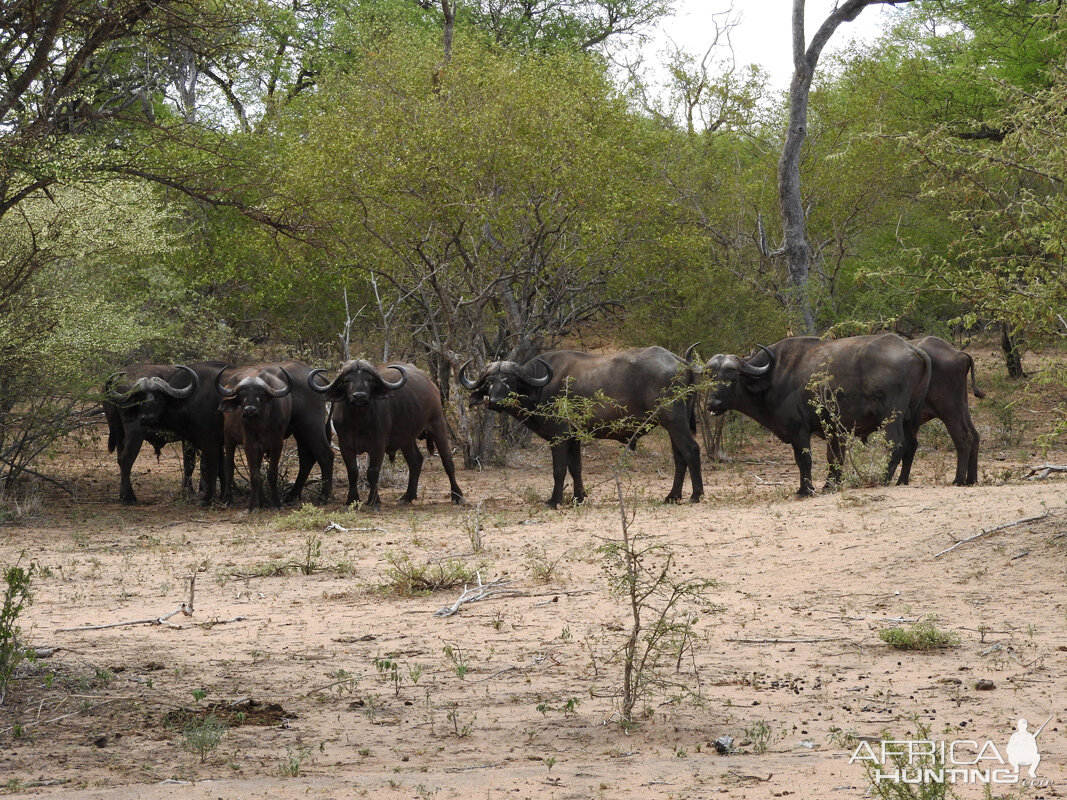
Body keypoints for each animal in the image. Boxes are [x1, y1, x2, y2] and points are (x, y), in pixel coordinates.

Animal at [102, 362, 228, 507]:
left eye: (158, 397)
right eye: (140, 399)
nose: (147, 418)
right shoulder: (195, 439)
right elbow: (192, 464)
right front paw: (191, 490)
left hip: (118, 432)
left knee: (120, 459)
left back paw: (123, 494)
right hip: (134, 433)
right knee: (127, 458)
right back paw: (128, 497)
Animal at [305, 362, 463, 509]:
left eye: (369, 380)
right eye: (347, 380)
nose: (359, 396)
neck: (358, 422)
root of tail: (431, 384)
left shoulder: (378, 445)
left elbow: (373, 471)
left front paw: (374, 501)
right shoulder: (345, 445)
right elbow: (352, 472)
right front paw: (352, 501)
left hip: (437, 424)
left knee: (447, 460)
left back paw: (457, 496)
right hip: (406, 438)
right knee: (415, 461)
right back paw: (407, 496)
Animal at [456, 347, 699, 509]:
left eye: (509, 381)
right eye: (489, 382)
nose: (495, 401)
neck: (541, 387)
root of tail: (681, 362)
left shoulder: (560, 436)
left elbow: (559, 469)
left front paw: (554, 500)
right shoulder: (574, 437)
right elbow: (576, 467)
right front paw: (578, 498)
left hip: (674, 421)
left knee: (692, 450)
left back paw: (696, 495)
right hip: (673, 425)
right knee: (679, 457)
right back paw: (673, 496)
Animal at [704, 334, 930, 499]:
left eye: (731, 379)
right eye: (711, 378)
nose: (712, 404)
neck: (773, 376)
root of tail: (909, 347)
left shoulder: (799, 430)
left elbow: (804, 460)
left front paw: (806, 490)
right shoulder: (834, 430)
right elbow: (835, 458)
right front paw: (830, 485)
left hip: (891, 417)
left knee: (897, 444)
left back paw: (883, 478)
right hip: (909, 419)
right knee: (911, 446)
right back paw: (901, 480)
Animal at [900, 334, 981, 486]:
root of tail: (960, 354)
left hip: (949, 410)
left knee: (964, 437)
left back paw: (958, 480)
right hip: (962, 407)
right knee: (975, 436)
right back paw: (971, 479)